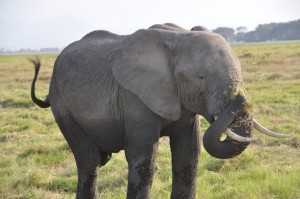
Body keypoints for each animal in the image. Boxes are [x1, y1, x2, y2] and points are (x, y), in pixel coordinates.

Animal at [29, 23, 286, 199]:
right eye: (201, 77)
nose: (240, 98)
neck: (178, 36)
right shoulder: (134, 97)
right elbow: (144, 157)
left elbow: (188, 154)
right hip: (63, 107)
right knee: (88, 160)